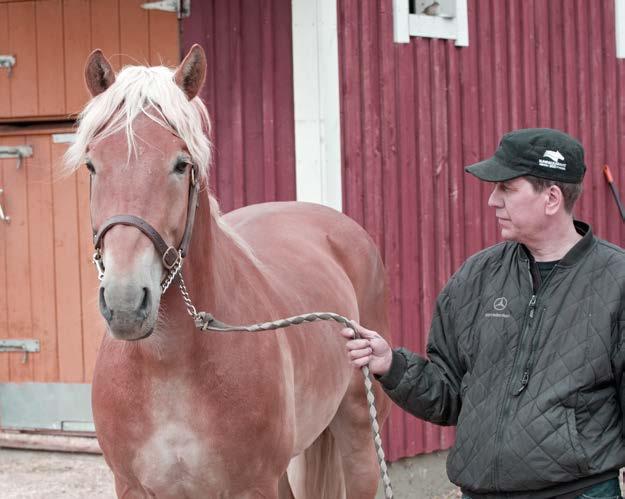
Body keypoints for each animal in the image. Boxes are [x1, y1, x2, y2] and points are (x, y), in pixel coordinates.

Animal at [67, 45, 390, 498]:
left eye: (181, 164)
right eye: (92, 165)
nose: (126, 303)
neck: (168, 367)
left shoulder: (253, 486)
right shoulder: (132, 486)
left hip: (359, 437)